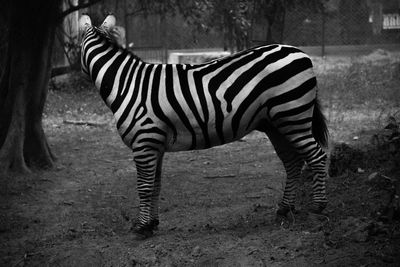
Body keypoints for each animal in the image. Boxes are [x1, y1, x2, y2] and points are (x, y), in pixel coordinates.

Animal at [77, 14, 328, 241]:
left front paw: (141, 228)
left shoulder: (144, 142)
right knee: (293, 162)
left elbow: (144, 186)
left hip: (292, 115)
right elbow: (156, 185)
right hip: (277, 124)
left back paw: (318, 207)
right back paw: (285, 209)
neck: (127, 84)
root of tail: (299, 51)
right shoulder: (155, 145)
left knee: (317, 156)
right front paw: (152, 224)